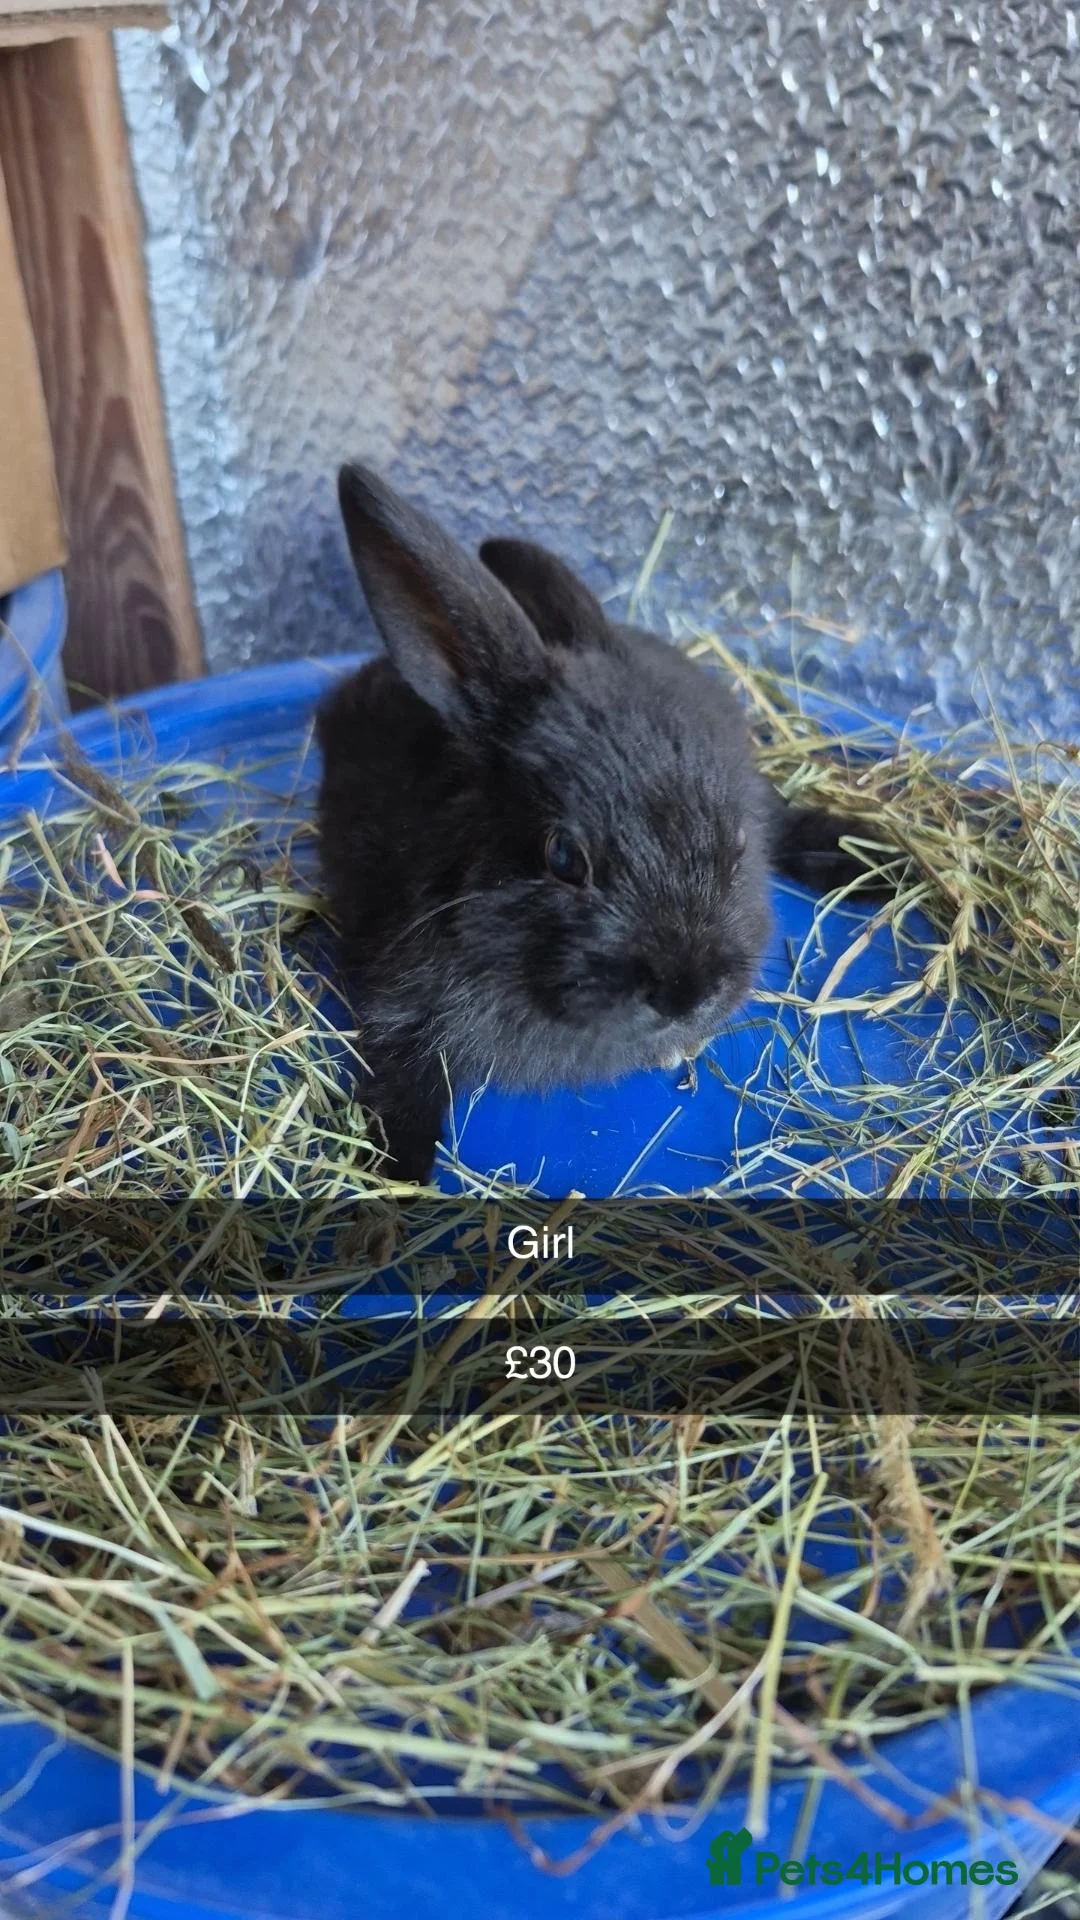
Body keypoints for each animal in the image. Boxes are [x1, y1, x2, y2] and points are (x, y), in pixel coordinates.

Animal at [316, 464, 887, 1183]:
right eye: (564, 858)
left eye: (735, 846)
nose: (686, 993)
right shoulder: (401, 1009)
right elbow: (400, 1086)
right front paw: (397, 1176)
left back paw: (874, 859)